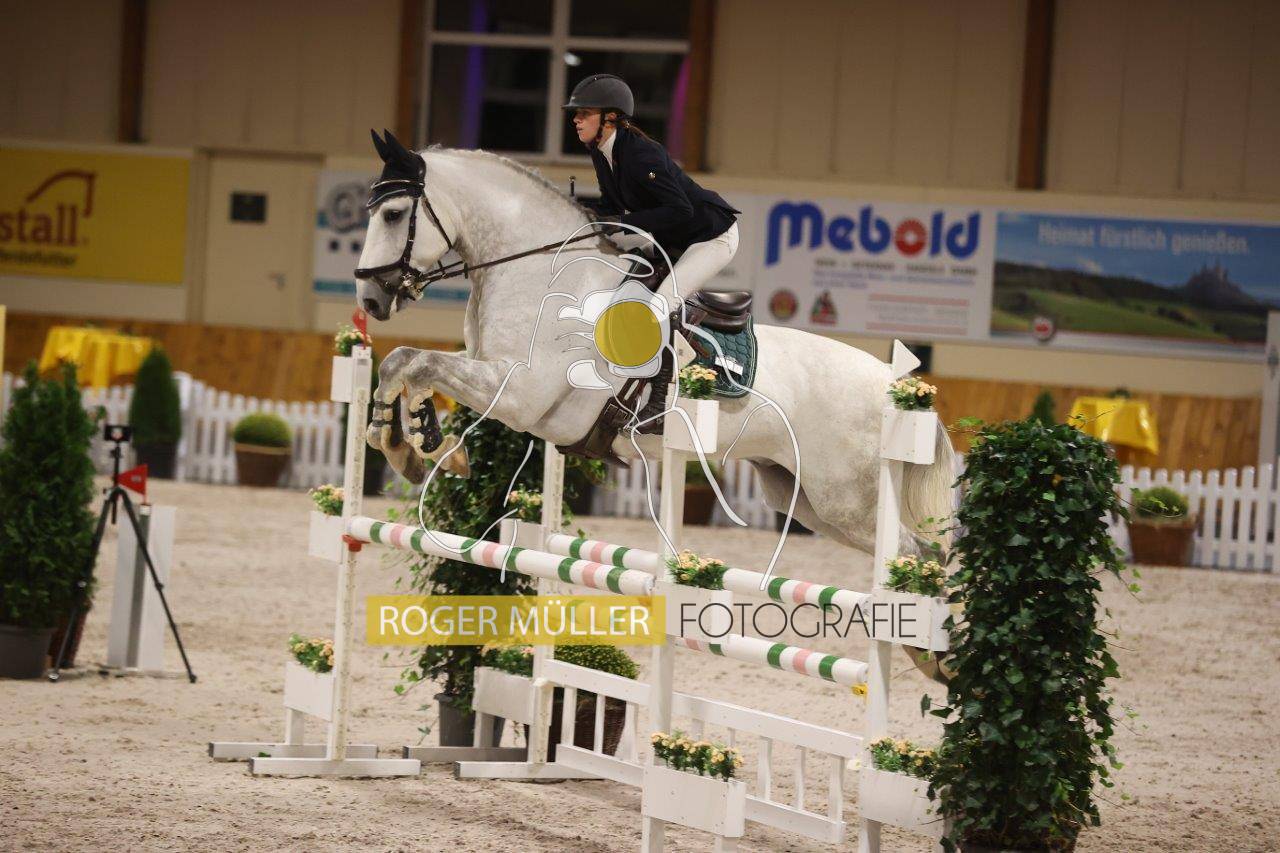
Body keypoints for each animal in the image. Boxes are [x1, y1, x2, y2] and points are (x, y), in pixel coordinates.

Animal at [353, 133, 956, 561]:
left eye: (393, 214)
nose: (371, 298)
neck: (541, 275)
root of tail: (896, 388)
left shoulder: (521, 394)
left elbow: (422, 363)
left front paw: (422, 446)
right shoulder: (489, 370)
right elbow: (405, 361)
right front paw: (409, 441)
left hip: (846, 498)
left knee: (913, 553)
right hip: (803, 496)